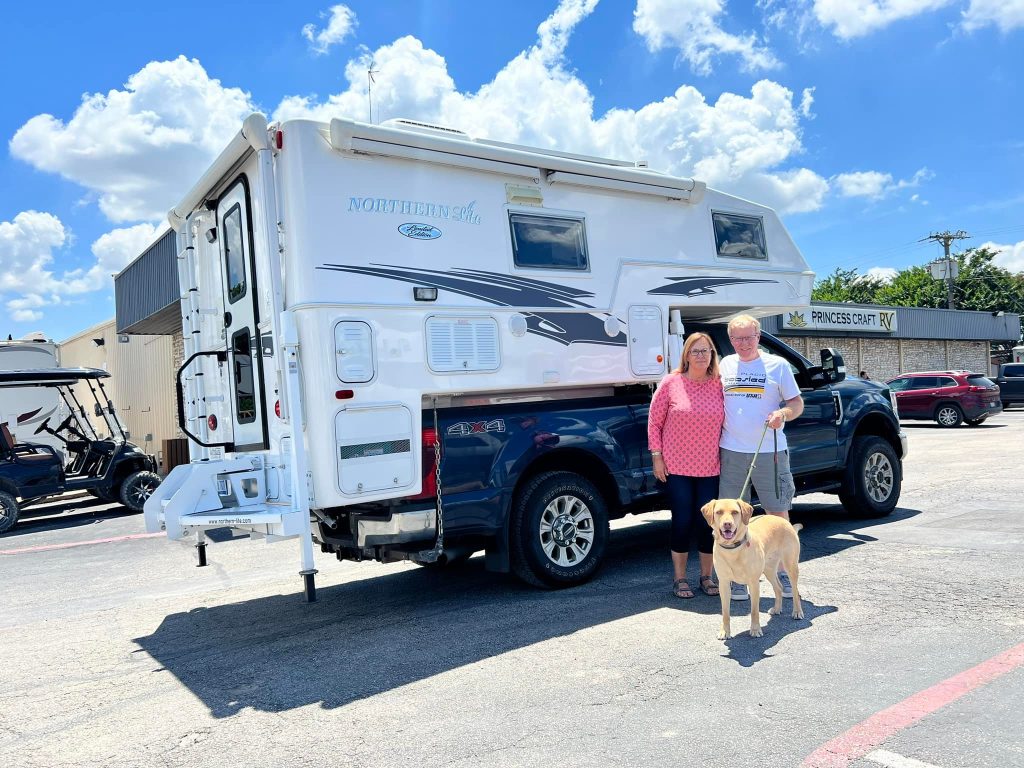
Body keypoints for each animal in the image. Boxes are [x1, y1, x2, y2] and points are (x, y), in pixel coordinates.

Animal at [700, 499, 802, 638]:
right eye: (719, 512)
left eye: (735, 512)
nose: (727, 524)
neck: (733, 549)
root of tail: (785, 521)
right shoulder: (724, 584)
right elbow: (725, 613)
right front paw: (725, 631)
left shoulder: (754, 583)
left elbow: (754, 611)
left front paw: (755, 630)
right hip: (768, 569)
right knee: (778, 588)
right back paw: (777, 609)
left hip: (790, 565)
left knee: (795, 591)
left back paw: (797, 612)